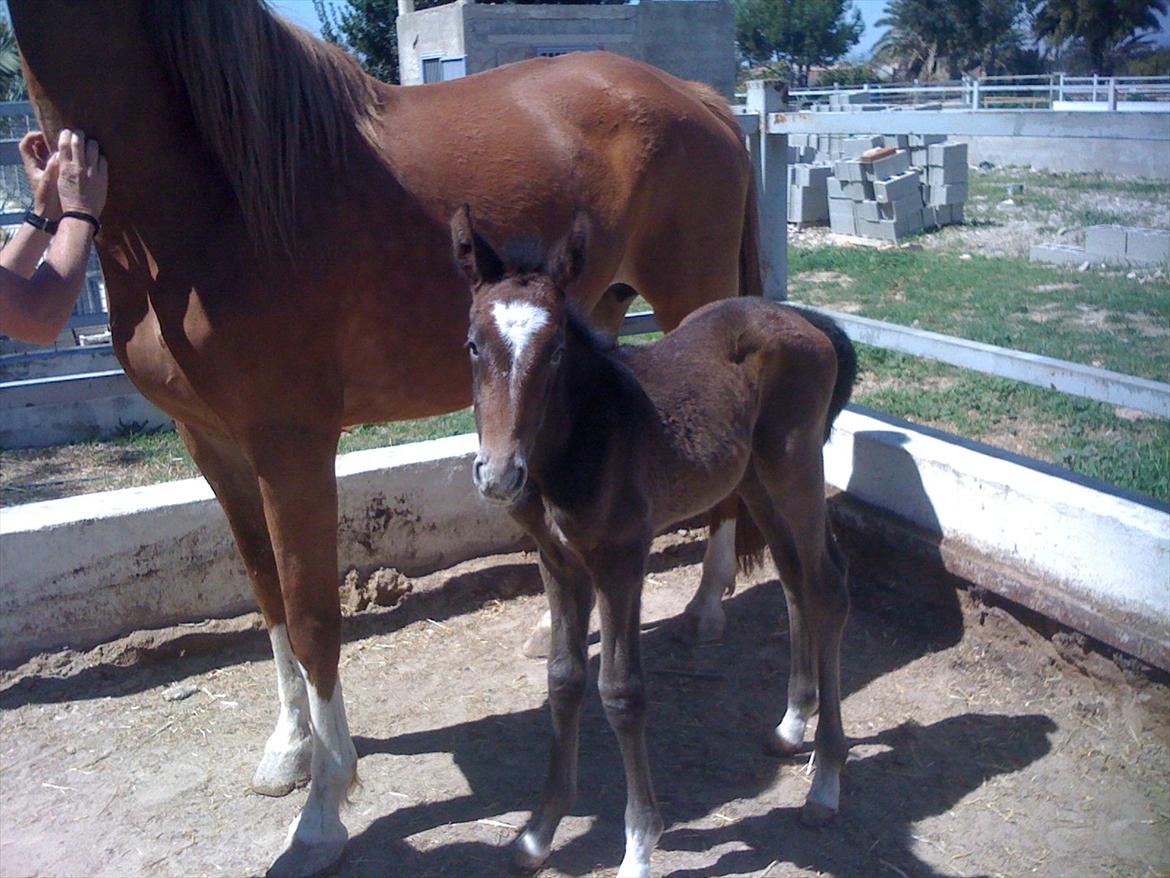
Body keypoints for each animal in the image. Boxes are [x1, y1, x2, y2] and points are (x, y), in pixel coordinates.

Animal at [13, 3, 762, 875]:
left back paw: (707, 605)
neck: (213, 184)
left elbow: (312, 615)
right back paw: (559, 628)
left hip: (693, 302)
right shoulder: (210, 444)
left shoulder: (292, 447)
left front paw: (323, 812)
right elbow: (266, 593)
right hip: (600, 311)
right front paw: (290, 750)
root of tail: (697, 97)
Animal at [456, 209, 861, 875]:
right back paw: (790, 726)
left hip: (794, 467)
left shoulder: (621, 559)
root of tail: (807, 320)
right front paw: (539, 833)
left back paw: (825, 784)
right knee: (794, 577)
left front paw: (639, 846)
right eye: (472, 345)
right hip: (754, 480)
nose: (498, 474)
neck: (582, 438)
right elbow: (563, 678)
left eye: (556, 349)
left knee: (827, 585)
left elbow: (620, 692)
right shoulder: (557, 561)